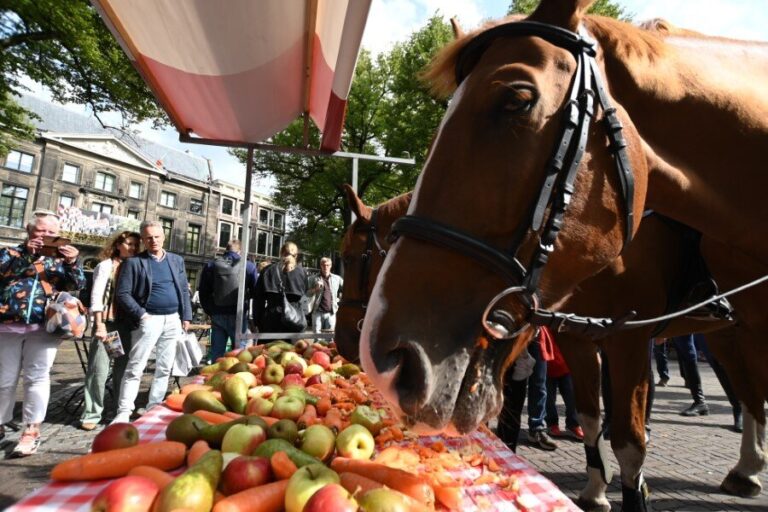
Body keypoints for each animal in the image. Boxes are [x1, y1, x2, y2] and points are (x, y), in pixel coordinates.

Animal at [338, 186, 756, 510]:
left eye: (351, 257)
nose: (343, 342)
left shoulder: (629, 342)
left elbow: (628, 438)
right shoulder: (578, 341)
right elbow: (590, 418)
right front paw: (596, 490)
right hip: (728, 334)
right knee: (750, 394)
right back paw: (747, 469)